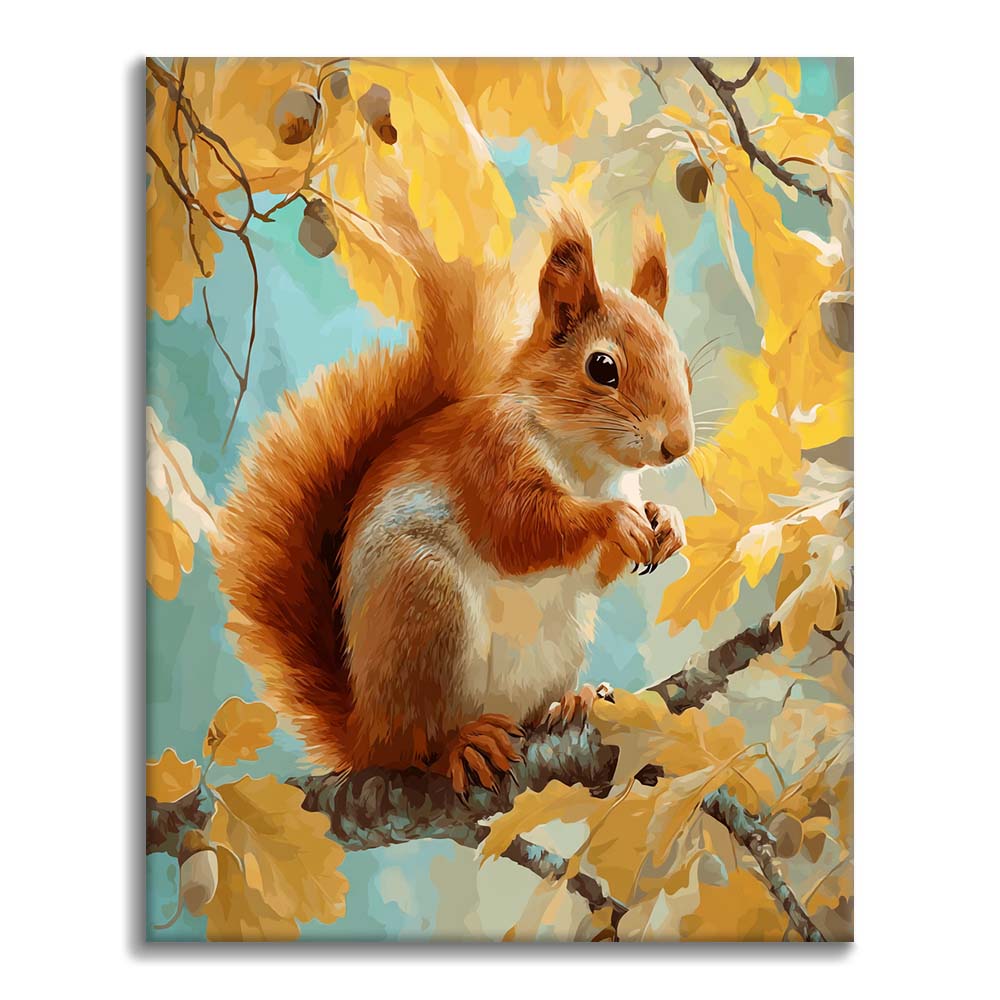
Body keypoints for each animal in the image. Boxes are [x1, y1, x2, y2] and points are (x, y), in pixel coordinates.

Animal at [214, 184, 694, 796]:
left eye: (685, 363)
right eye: (603, 367)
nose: (678, 445)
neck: (588, 464)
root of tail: (363, 733)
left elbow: (597, 570)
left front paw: (666, 520)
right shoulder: (486, 460)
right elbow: (521, 531)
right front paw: (615, 519)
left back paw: (573, 702)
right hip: (425, 606)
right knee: (417, 747)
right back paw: (462, 745)